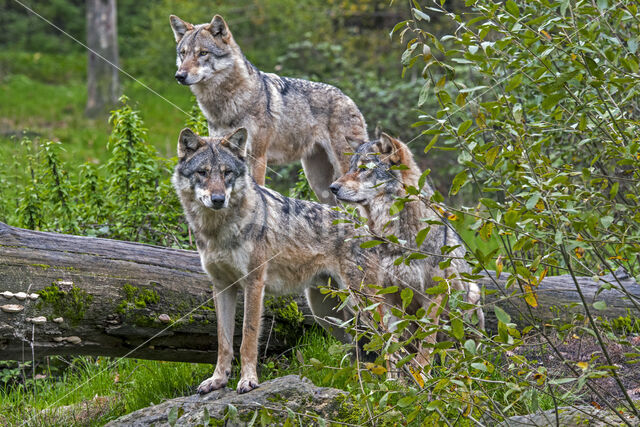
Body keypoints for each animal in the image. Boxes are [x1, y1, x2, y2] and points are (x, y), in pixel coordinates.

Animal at [169, 14, 370, 205]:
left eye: (203, 53)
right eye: (183, 54)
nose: (179, 75)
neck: (227, 103)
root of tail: (348, 98)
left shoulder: (258, 157)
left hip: (341, 168)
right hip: (318, 183)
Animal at [330, 133, 484, 364]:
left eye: (364, 168)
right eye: (349, 168)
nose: (332, 187)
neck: (397, 239)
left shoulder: (432, 296)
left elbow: (426, 346)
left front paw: (423, 373)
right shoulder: (387, 297)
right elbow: (393, 347)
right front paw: (397, 373)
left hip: (471, 298)